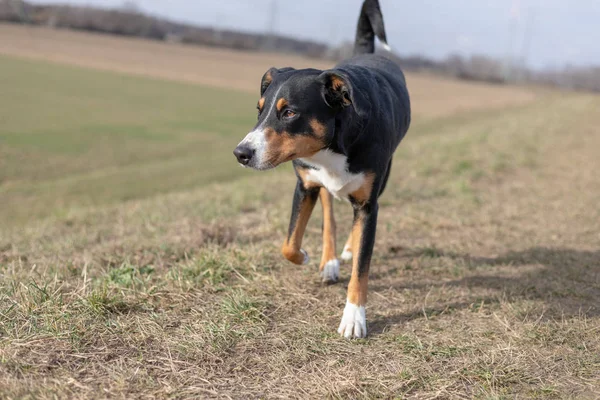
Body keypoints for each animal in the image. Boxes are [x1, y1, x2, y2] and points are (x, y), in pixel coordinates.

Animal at [232, 0, 410, 338]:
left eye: (289, 113)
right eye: (260, 110)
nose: (241, 153)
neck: (332, 145)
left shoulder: (369, 203)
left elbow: (362, 268)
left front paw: (354, 317)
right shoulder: (305, 185)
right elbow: (289, 244)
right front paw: (306, 256)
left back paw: (348, 250)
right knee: (329, 214)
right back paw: (329, 261)